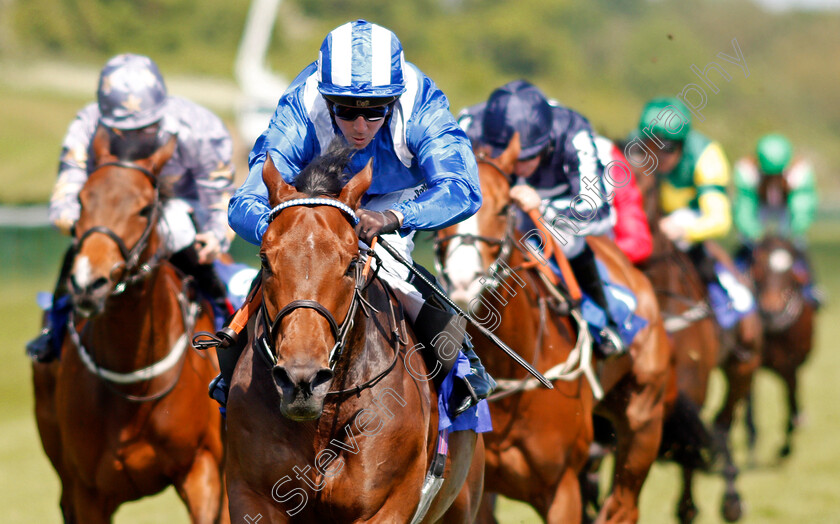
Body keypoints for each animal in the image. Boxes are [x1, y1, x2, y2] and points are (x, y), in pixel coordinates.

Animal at [31, 125, 226, 520]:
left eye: (144, 208)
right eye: (82, 202)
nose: (88, 284)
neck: (137, 381)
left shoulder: (203, 468)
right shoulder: (87, 490)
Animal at [225, 148, 486, 524]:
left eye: (351, 263)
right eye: (264, 260)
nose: (301, 380)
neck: (324, 417)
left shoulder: (386, 505)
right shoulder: (252, 496)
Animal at [434, 137, 668, 520]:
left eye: (504, 208)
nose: (464, 280)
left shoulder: (562, 490)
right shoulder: (474, 492)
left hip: (643, 424)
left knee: (622, 506)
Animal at [744, 234, 816, 458]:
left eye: (790, 271)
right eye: (759, 265)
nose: (772, 309)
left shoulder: (789, 365)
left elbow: (791, 400)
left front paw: (785, 447)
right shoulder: (751, 363)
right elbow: (750, 407)